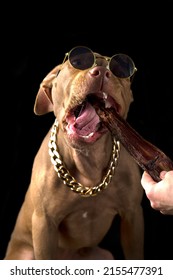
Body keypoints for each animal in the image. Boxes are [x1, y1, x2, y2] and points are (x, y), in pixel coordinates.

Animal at [4, 46, 145, 260]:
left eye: (120, 70)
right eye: (77, 62)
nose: (101, 72)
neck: (88, 164)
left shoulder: (132, 215)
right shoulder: (44, 225)